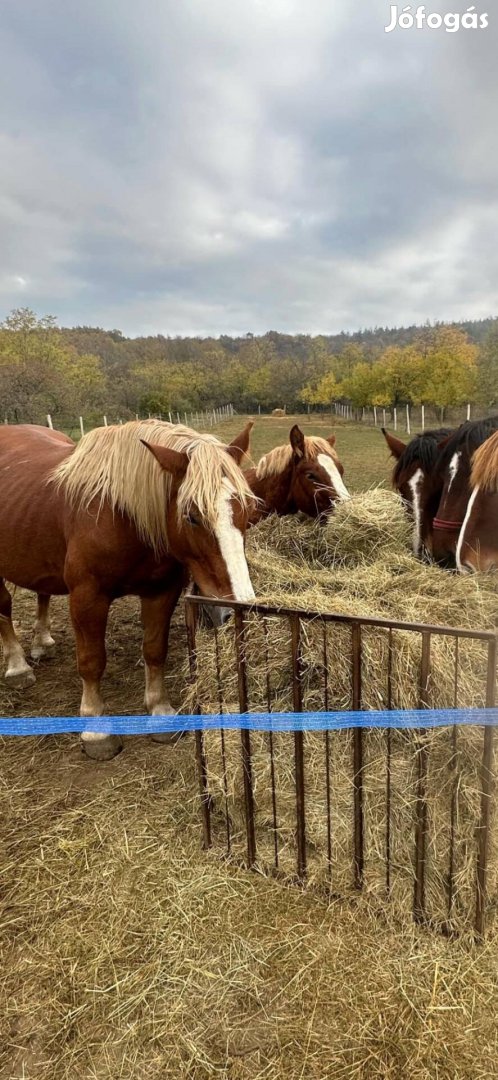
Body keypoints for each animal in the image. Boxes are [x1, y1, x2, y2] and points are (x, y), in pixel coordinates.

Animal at [0, 416, 256, 764]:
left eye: (248, 511)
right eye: (192, 516)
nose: (240, 609)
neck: (120, 514)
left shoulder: (162, 591)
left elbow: (154, 650)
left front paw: (160, 712)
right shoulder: (88, 597)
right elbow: (92, 660)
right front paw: (96, 729)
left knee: (42, 593)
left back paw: (42, 643)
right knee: (4, 606)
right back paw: (17, 667)